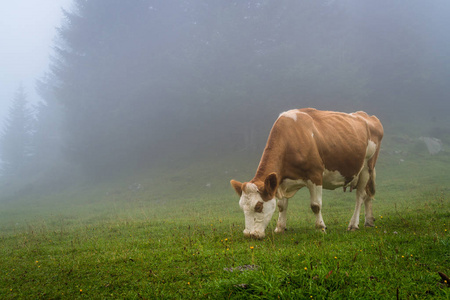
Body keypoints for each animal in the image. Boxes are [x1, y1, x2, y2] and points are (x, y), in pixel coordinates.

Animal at [232, 108, 384, 239]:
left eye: (258, 206)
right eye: (241, 207)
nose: (249, 234)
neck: (290, 138)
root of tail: (368, 116)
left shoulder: (315, 175)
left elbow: (316, 205)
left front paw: (321, 228)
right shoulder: (280, 181)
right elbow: (281, 206)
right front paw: (280, 228)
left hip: (366, 166)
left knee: (360, 196)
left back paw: (353, 224)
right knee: (368, 195)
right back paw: (369, 221)